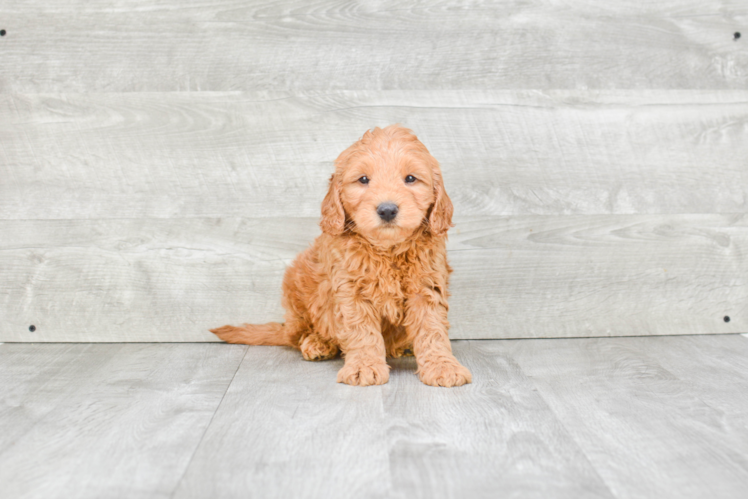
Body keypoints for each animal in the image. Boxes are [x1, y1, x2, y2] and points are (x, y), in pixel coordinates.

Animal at [210, 124, 470, 386]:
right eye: (363, 179)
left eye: (410, 179)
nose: (387, 209)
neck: (386, 249)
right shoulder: (351, 290)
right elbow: (361, 330)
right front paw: (364, 366)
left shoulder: (426, 287)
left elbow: (432, 329)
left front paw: (442, 366)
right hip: (297, 285)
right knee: (300, 333)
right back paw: (317, 343)